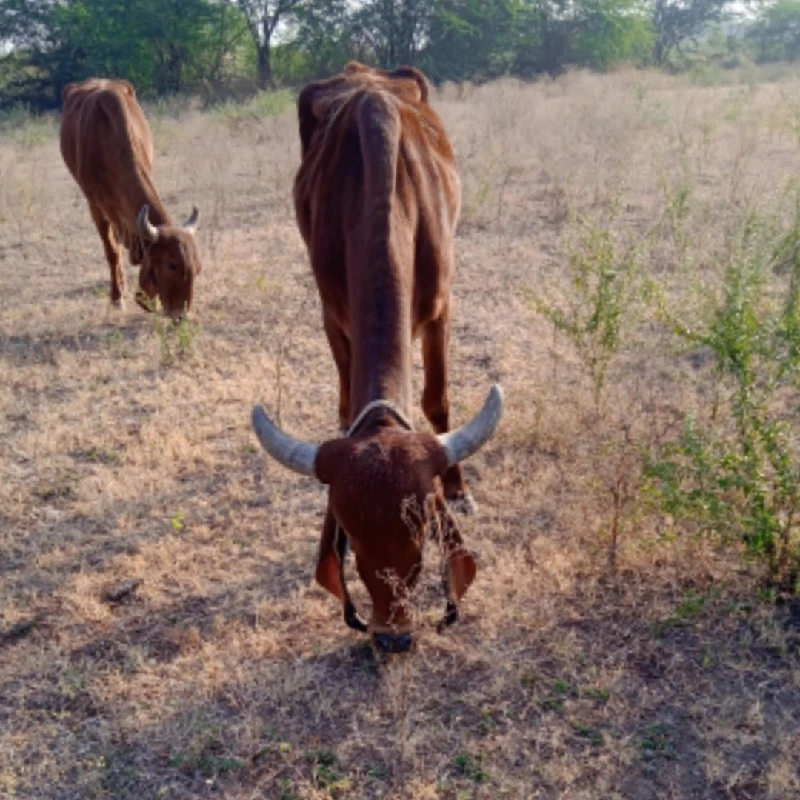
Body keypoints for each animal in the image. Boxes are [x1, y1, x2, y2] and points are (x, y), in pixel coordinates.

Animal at [60, 79, 203, 318]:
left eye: (197, 267)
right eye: (171, 265)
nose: (182, 316)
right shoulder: (96, 206)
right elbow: (112, 252)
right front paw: (117, 298)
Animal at [250, 61, 504, 648]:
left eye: (423, 532)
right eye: (351, 539)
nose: (393, 635)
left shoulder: (441, 307)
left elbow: (437, 402)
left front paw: (459, 488)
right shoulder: (333, 314)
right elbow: (346, 404)